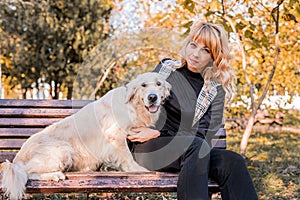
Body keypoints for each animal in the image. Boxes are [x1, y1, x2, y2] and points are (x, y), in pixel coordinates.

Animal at [1, 71, 171, 198]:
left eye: (159, 84)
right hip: (62, 150)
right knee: (26, 171)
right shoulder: (115, 135)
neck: (133, 106)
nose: (152, 97)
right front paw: (138, 169)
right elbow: (127, 157)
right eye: (143, 85)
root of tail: (17, 158)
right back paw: (54, 175)